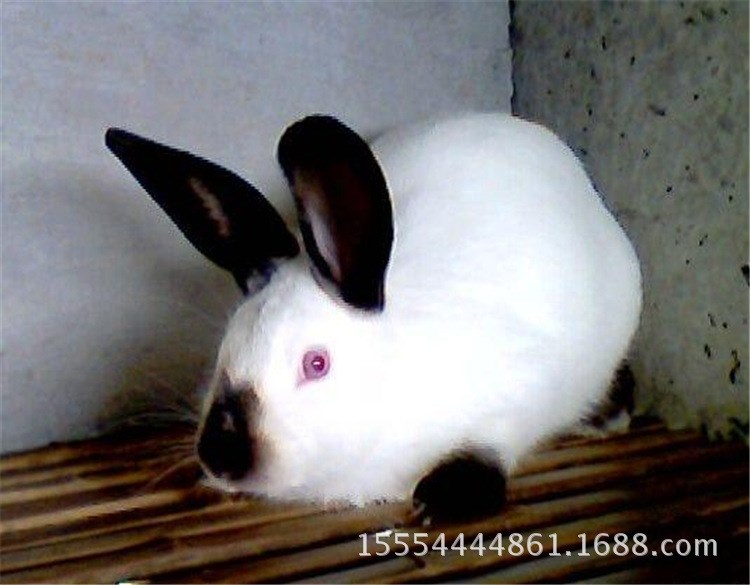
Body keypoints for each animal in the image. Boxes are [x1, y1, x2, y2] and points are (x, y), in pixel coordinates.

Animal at [105, 112, 642, 521]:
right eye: (225, 349)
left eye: (316, 364)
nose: (220, 456)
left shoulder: (515, 399)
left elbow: (490, 449)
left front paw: (436, 503)